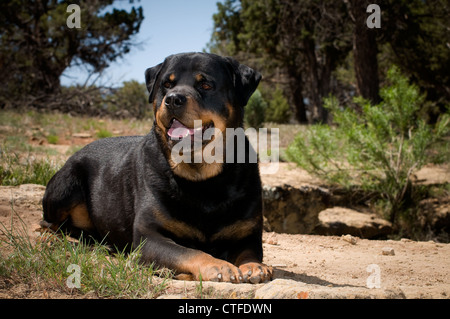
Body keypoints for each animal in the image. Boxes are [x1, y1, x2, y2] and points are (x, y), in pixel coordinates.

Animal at [42, 53, 272, 284]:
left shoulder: (248, 235)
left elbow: (250, 253)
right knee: (48, 224)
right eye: (167, 85)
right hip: (65, 186)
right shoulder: (149, 237)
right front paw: (217, 266)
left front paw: (255, 267)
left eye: (205, 84)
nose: (173, 99)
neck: (201, 178)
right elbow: (189, 252)